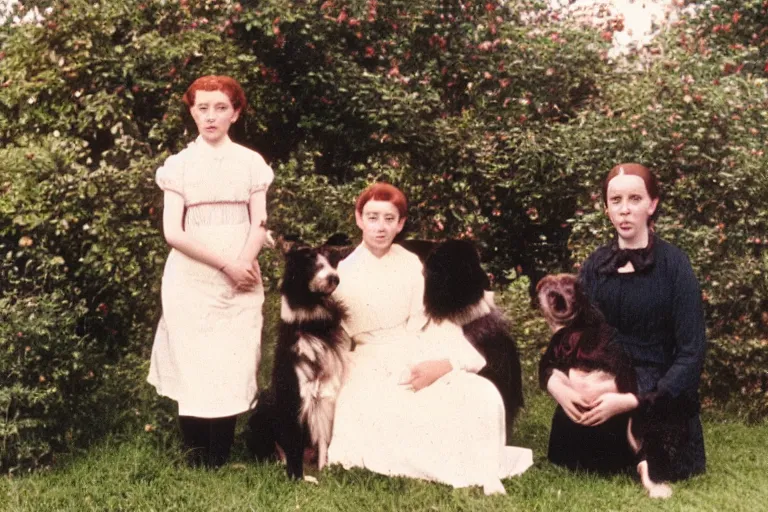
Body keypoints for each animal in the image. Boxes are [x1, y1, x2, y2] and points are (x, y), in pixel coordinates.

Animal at [246, 240, 352, 480]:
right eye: (312, 264)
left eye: (330, 261)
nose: (334, 278)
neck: (313, 325)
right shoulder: (297, 399)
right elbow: (294, 443)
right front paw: (298, 478)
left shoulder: (324, 397)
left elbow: (322, 442)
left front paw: (324, 470)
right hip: (260, 416)